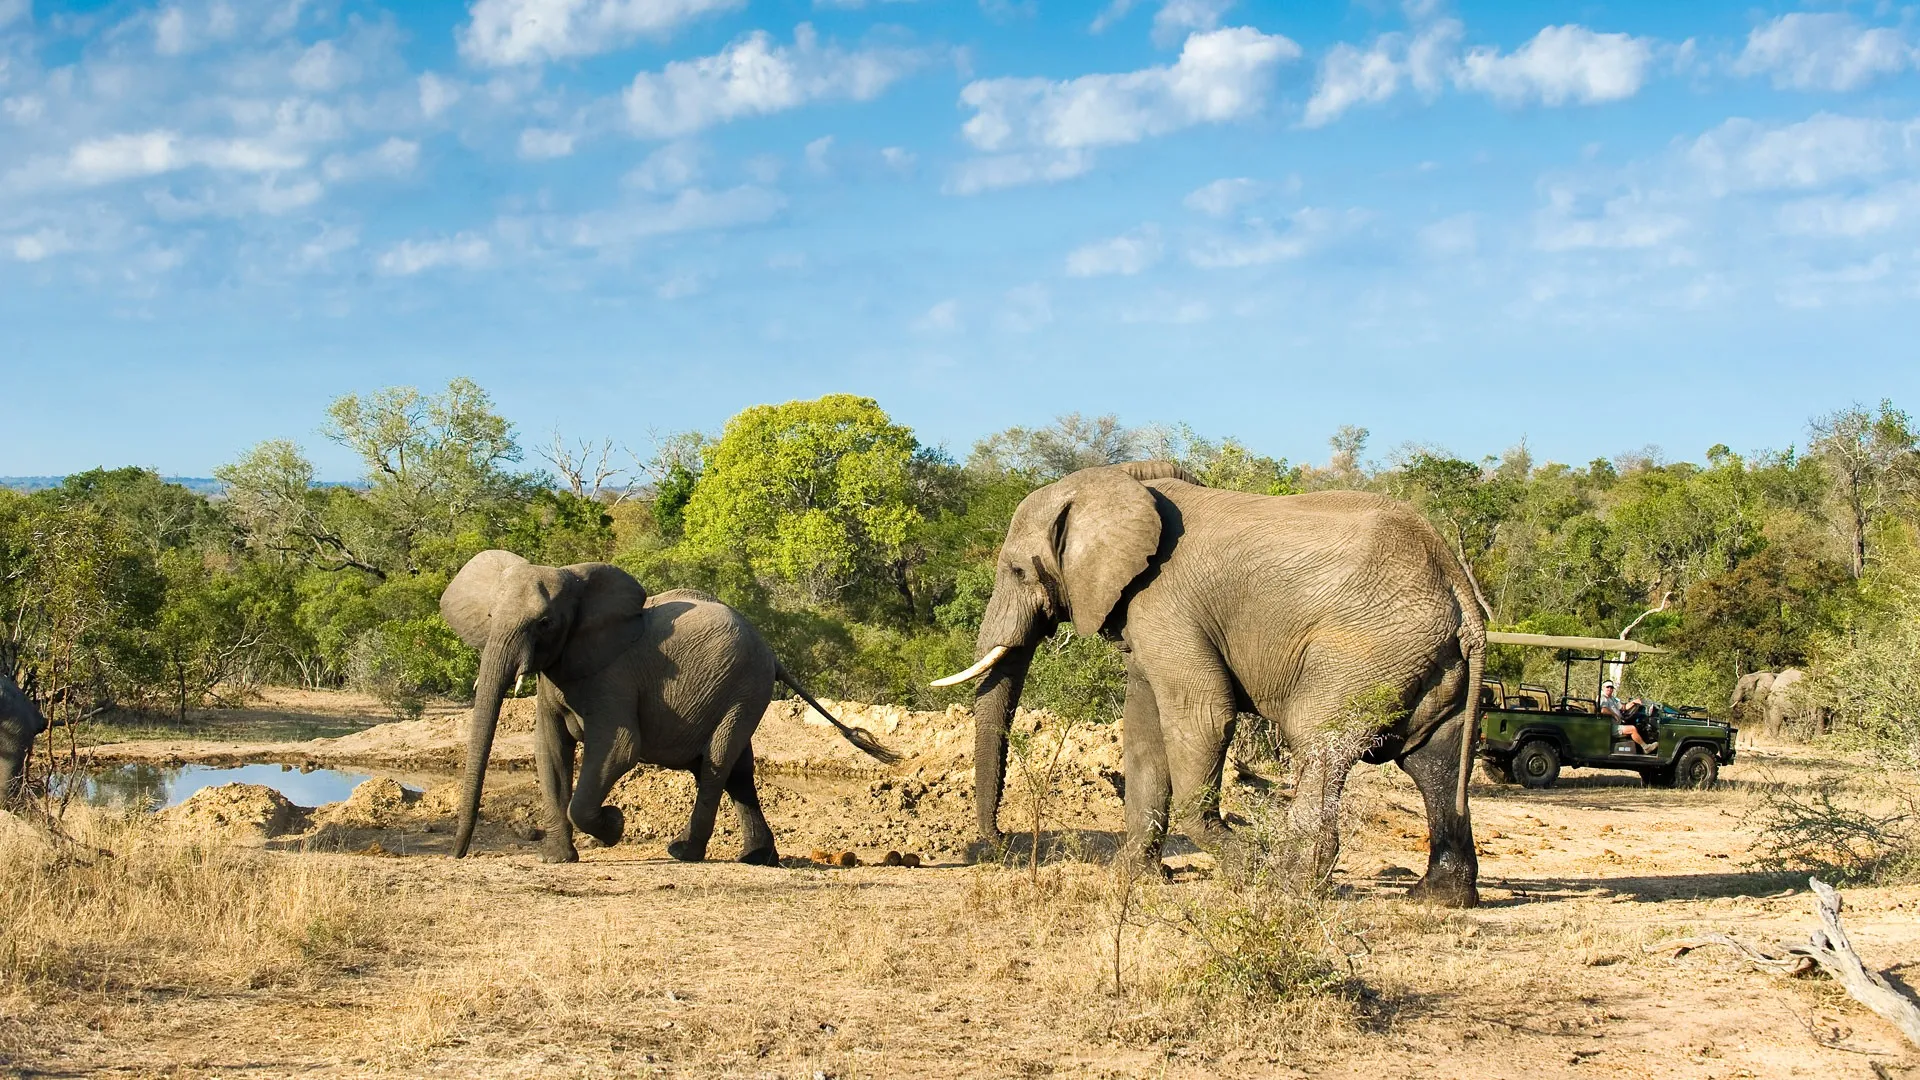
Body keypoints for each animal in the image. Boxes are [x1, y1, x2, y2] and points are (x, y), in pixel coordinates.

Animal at [440, 550, 897, 864]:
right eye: (489, 616)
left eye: (545, 623)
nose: (458, 854)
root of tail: (772, 651)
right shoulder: (555, 677)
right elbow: (549, 751)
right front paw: (557, 859)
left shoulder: (612, 679)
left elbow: (619, 748)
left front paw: (613, 826)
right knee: (739, 772)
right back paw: (757, 858)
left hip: (745, 687)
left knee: (716, 764)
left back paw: (683, 852)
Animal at [932, 462, 1486, 907]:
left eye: (1017, 570)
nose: (1000, 843)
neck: (1124, 482)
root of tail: (1459, 587)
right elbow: (1144, 734)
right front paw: (1136, 879)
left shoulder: (1165, 603)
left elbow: (1203, 715)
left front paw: (1247, 868)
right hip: (1428, 660)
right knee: (1433, 761)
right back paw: (1437, 898)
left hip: (1368, 648)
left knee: (1320, 745)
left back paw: (1286, 886)